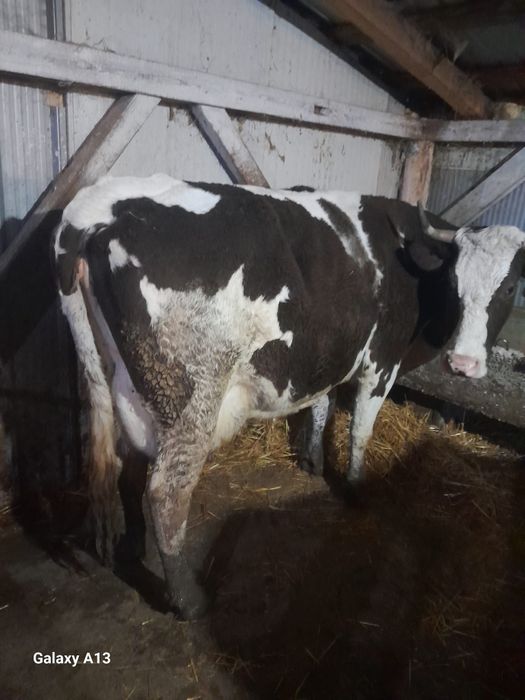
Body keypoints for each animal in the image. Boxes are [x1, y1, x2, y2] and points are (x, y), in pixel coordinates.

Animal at [53, 174, 524, 618]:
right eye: (456, 282)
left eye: (508, 287)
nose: (463, 363)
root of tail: (98, 212)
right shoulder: (381, 361)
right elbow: (360, 430)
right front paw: (356, 487)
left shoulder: (328, 353)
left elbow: (320, 405)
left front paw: (313, 461)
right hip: (191, 397)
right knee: (166, 491)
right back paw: (188, 602)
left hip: (120, 385)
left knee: (125, 465)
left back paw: (132, 548)